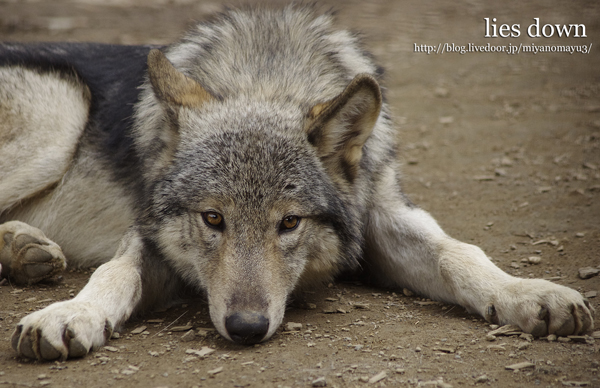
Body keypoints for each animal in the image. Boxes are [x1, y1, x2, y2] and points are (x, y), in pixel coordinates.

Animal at [0, 5, 592, 360]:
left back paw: (23, 250)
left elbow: (459, 253)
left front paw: (527, 293)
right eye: (213, 218)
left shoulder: (379, 215)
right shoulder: (150, 235)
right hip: (60, 116)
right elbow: (114, 273)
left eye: (289, 223)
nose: (245, 326)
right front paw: (70, 314)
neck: (267, 78)